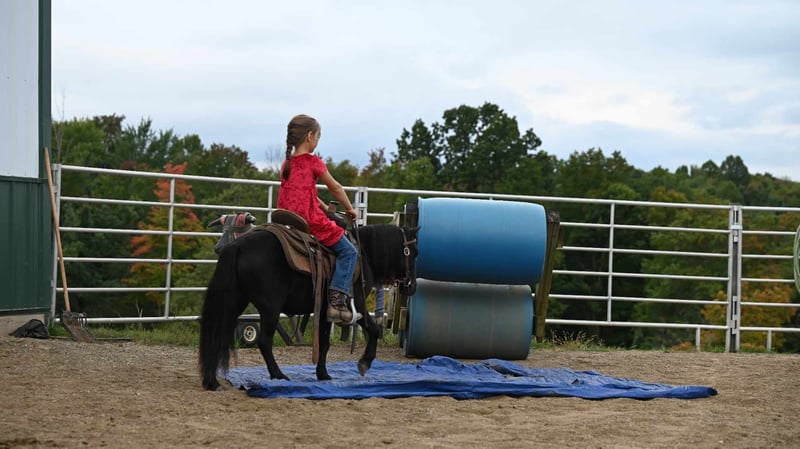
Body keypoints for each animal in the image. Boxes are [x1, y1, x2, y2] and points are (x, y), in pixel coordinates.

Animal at [199, 222, 419, 391]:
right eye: (414, 252)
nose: (412, 286)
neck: (363, 253)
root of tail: (237, 245)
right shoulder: (358, 304)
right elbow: (373, 330)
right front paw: (364, 363)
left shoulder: (324, 312)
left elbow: (324, 342)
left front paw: (322, 374)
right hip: (270, 308)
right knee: (264, 341)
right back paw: (278, 375)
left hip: (235, 301)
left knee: (218, 334)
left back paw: (212, 381)